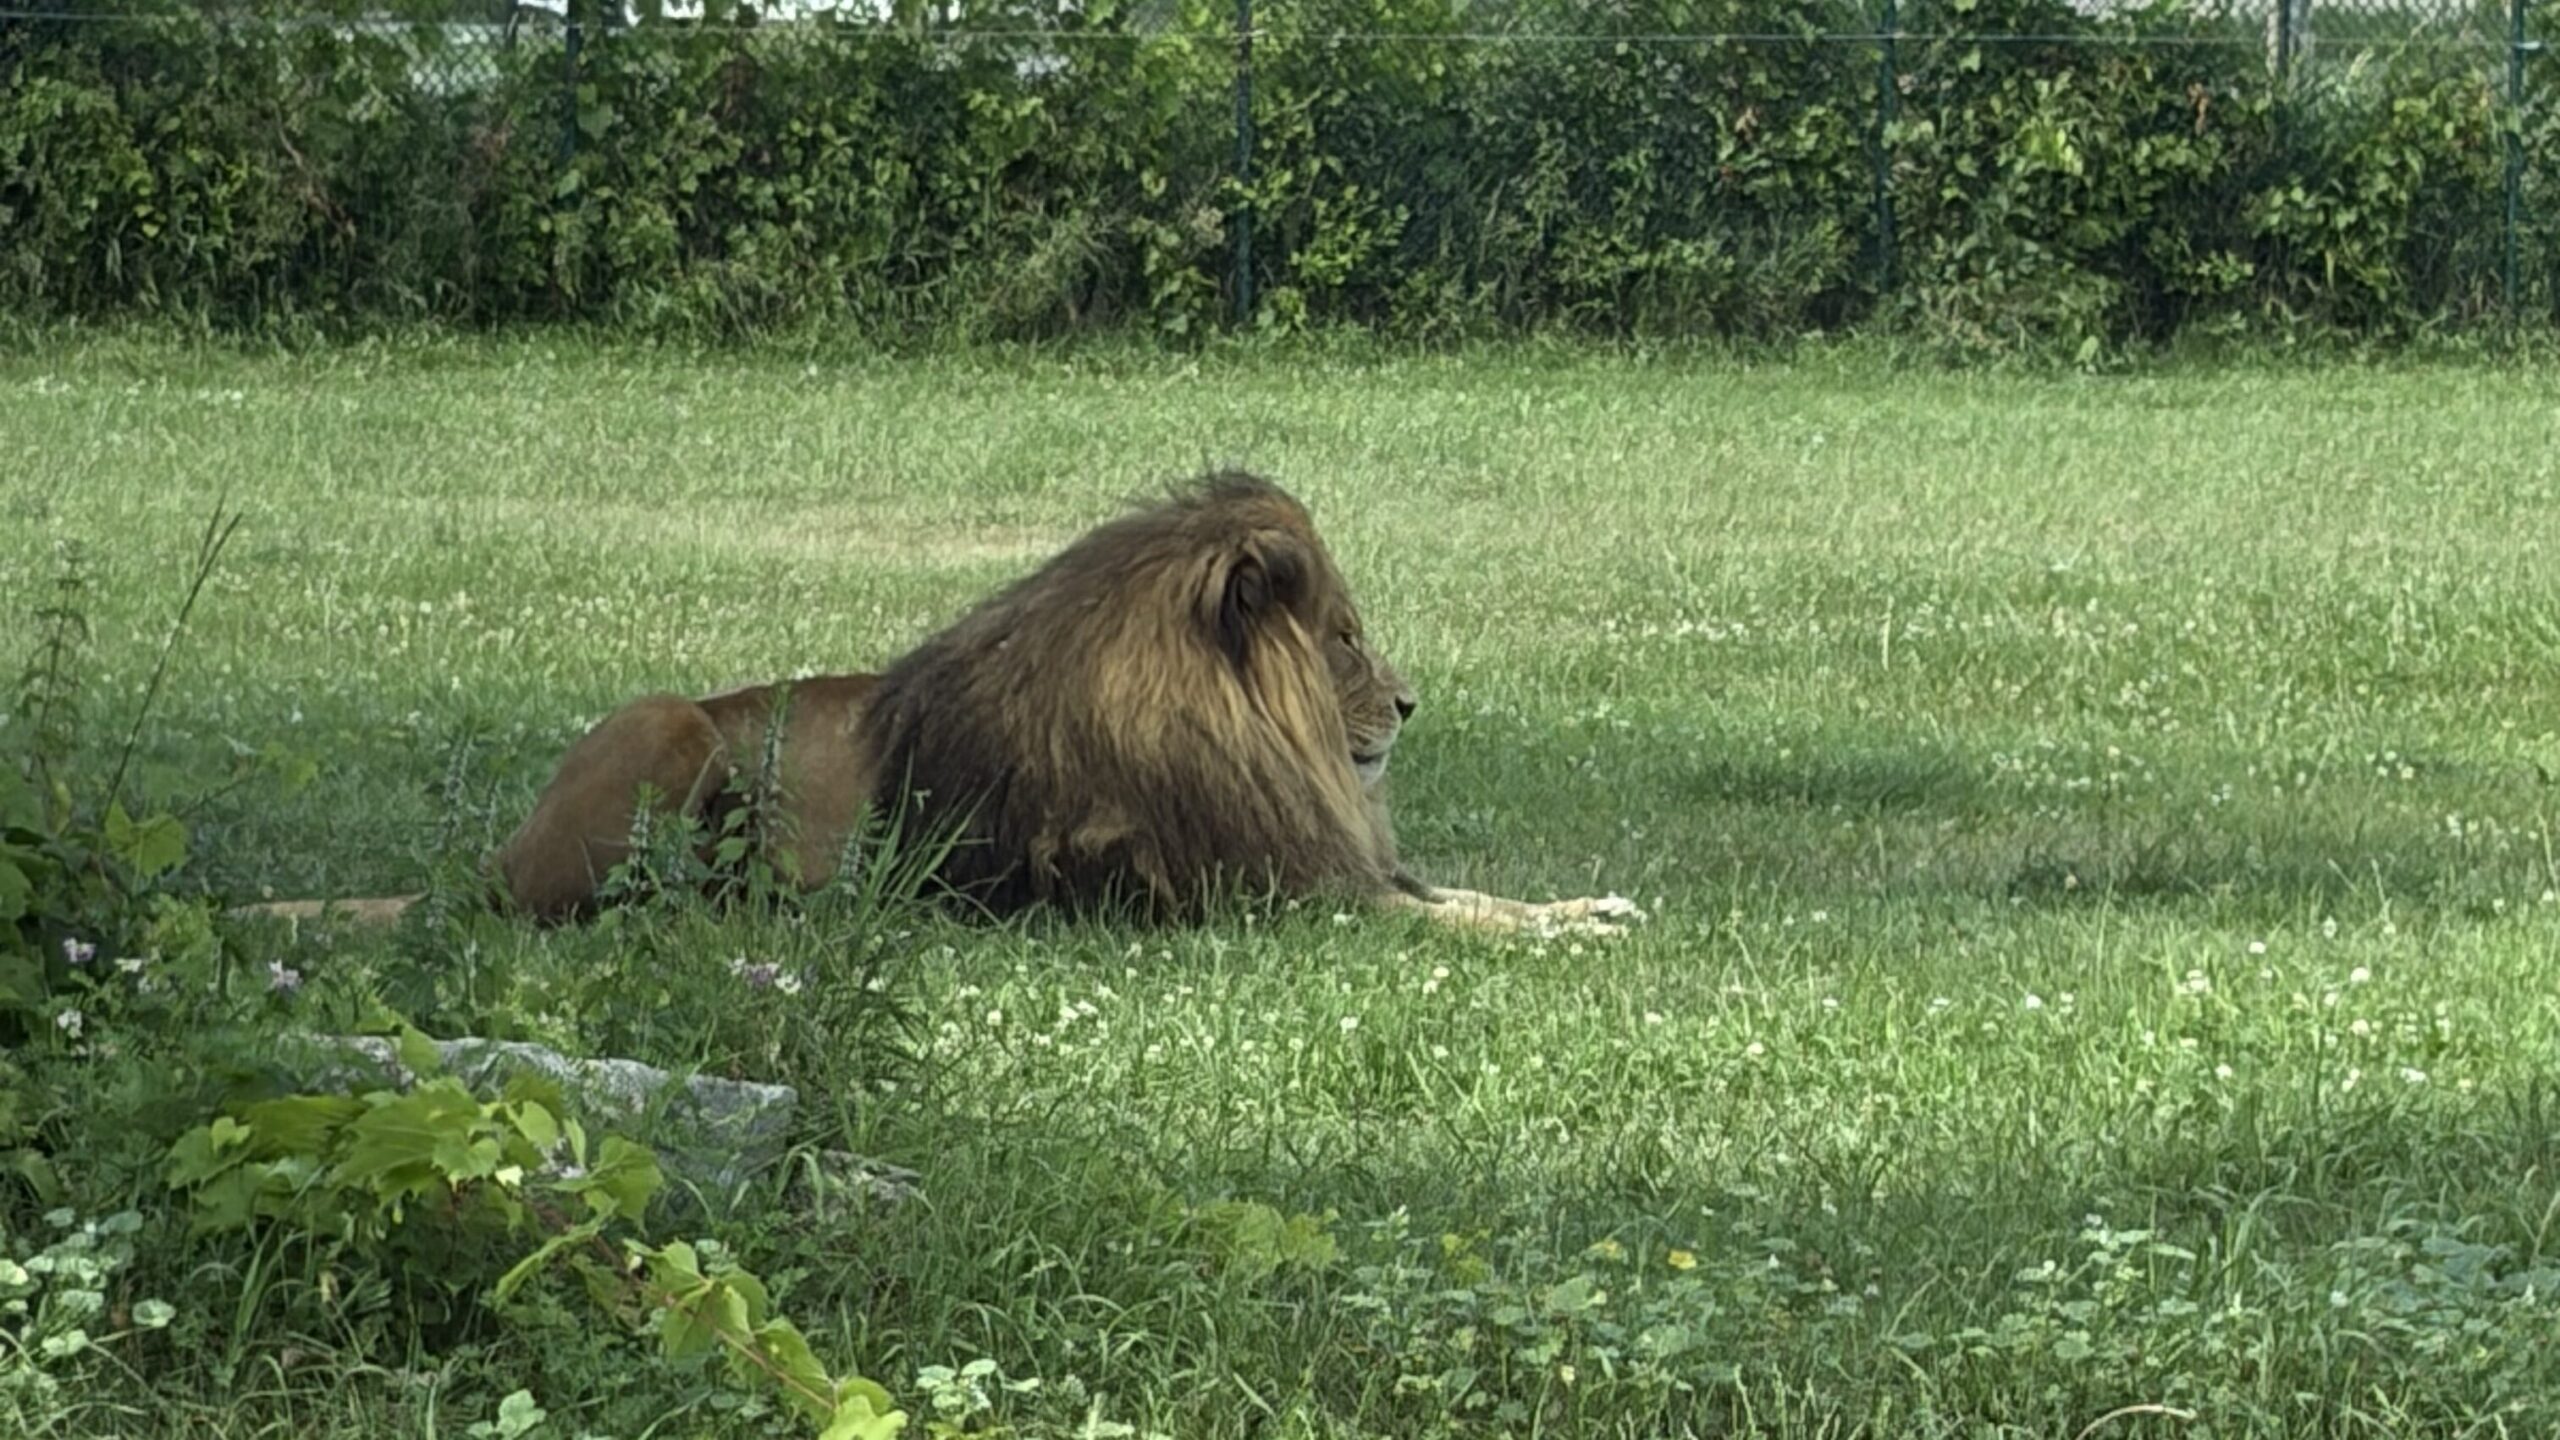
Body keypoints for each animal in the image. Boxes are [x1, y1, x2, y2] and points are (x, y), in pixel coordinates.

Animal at [241, 471, 1636, 939]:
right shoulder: (1272, 895)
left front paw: (1589, 909)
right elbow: (1461, 925)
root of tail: (488, 860)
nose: (1410, 705)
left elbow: (1479, 894)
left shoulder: (1330, 862)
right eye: (1342, 637)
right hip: (666, 722)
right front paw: (1562, 940)